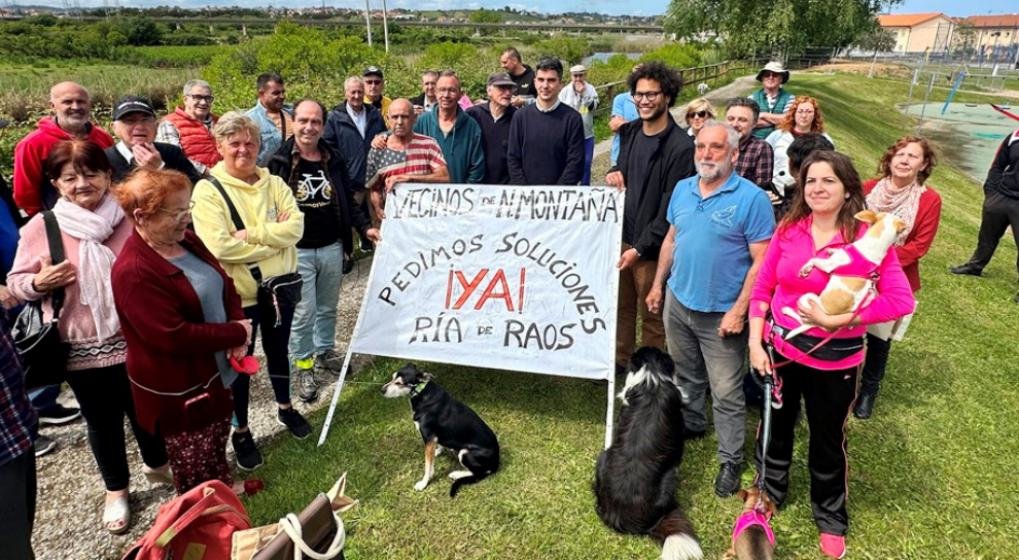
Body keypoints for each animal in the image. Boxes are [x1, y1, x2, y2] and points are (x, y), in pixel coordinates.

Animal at [381, 366, 499, 498]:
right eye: (392, 378)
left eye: (399, 383)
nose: (382, 390)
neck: (422, 392)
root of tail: (497, 462)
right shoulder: (434, 438)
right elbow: (435, 452)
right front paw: (438, 451)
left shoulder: (429, 437)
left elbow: (427, 466)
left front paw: (423, 483)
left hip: (465, 453)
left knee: (480, 472)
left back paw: (457, 474)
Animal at [778, 210, 908, 340]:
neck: (875, 245)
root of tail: (818, 324)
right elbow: (839, 249)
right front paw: (831, 250)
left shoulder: (828, 265)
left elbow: (814, 259)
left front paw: (806, 268)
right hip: (868, 298)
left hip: (807, 299)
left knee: (801, 321)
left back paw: (786, 310)